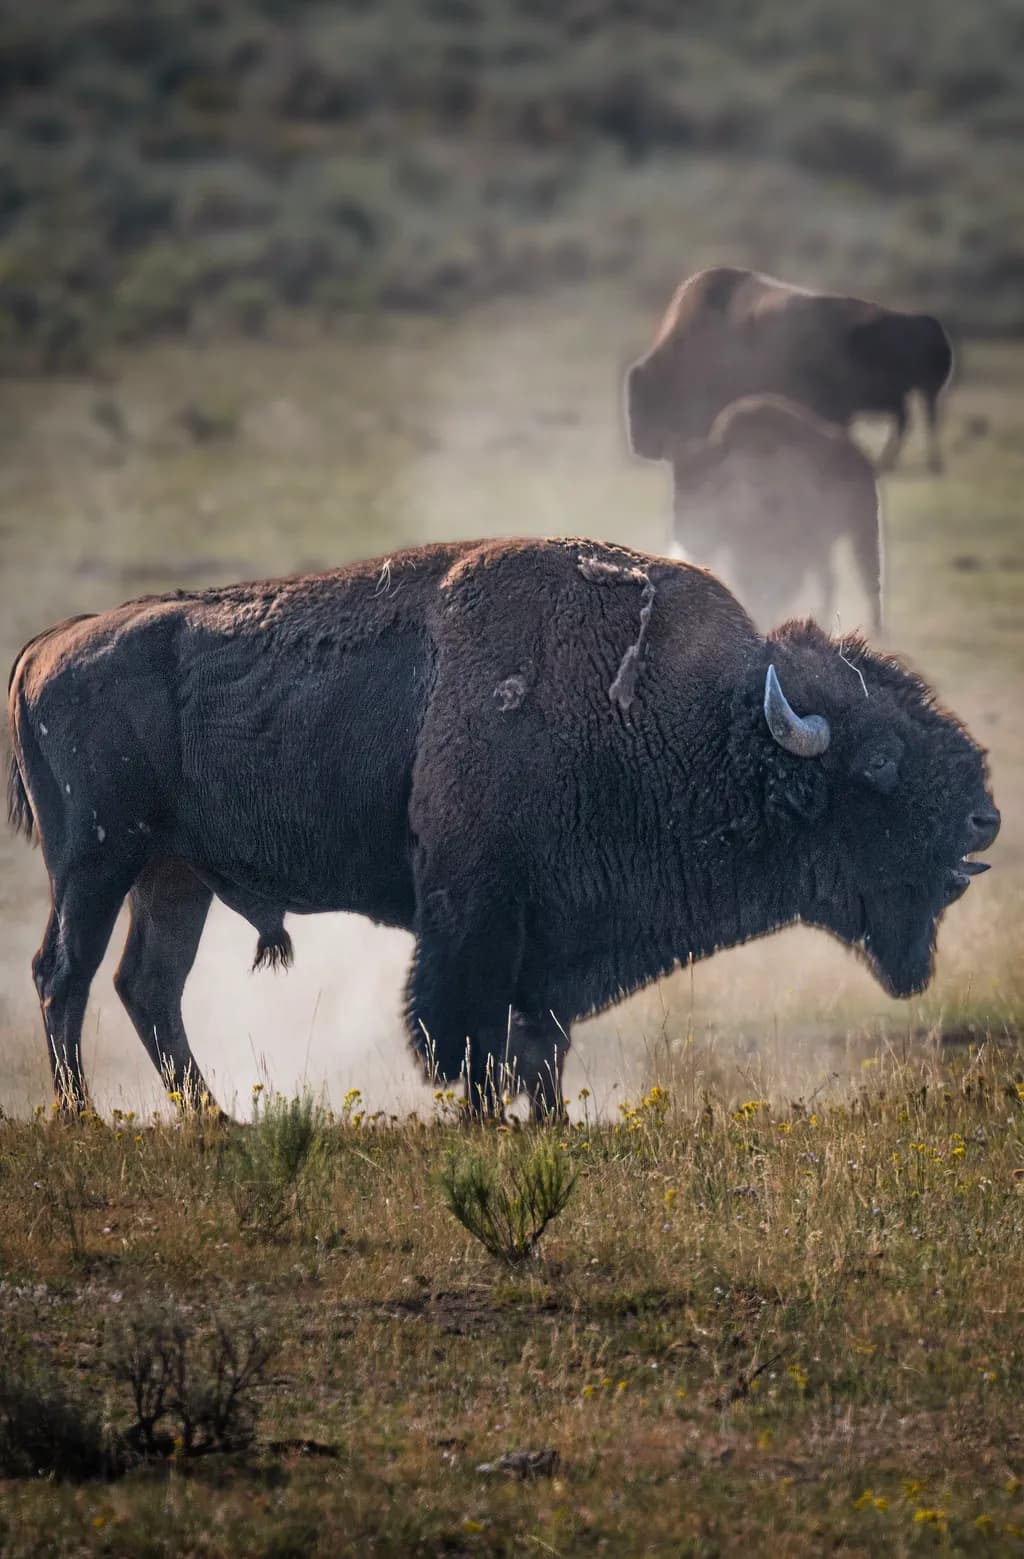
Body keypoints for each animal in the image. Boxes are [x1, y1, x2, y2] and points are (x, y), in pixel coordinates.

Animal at [7, 538, 998, 1118]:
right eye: (881, 761)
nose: (985, 816)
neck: (691, 718)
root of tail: (48, 644)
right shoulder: (475, 917)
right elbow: (472, 1041)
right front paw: (492, 1126)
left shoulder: (546, 942)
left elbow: (538, 1045)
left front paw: (555, 1125)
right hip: (96, 861)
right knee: (65, 974)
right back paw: (85, 1117)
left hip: (173, 875)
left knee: (148, 988)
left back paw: (215, 1121)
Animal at [626, 266, 954, 473]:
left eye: (646, 401)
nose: (640, 447)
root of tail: (925, 323)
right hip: (909, 396)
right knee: (911, 421)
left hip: (914, 395)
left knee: (915, 422)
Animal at [669, 394, 883, 632]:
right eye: (676, 492)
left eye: (707, 489)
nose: (684, 537)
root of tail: (860, 456)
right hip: (825, 548)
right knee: (830, 581)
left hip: (862, 530)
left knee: (868, 580)